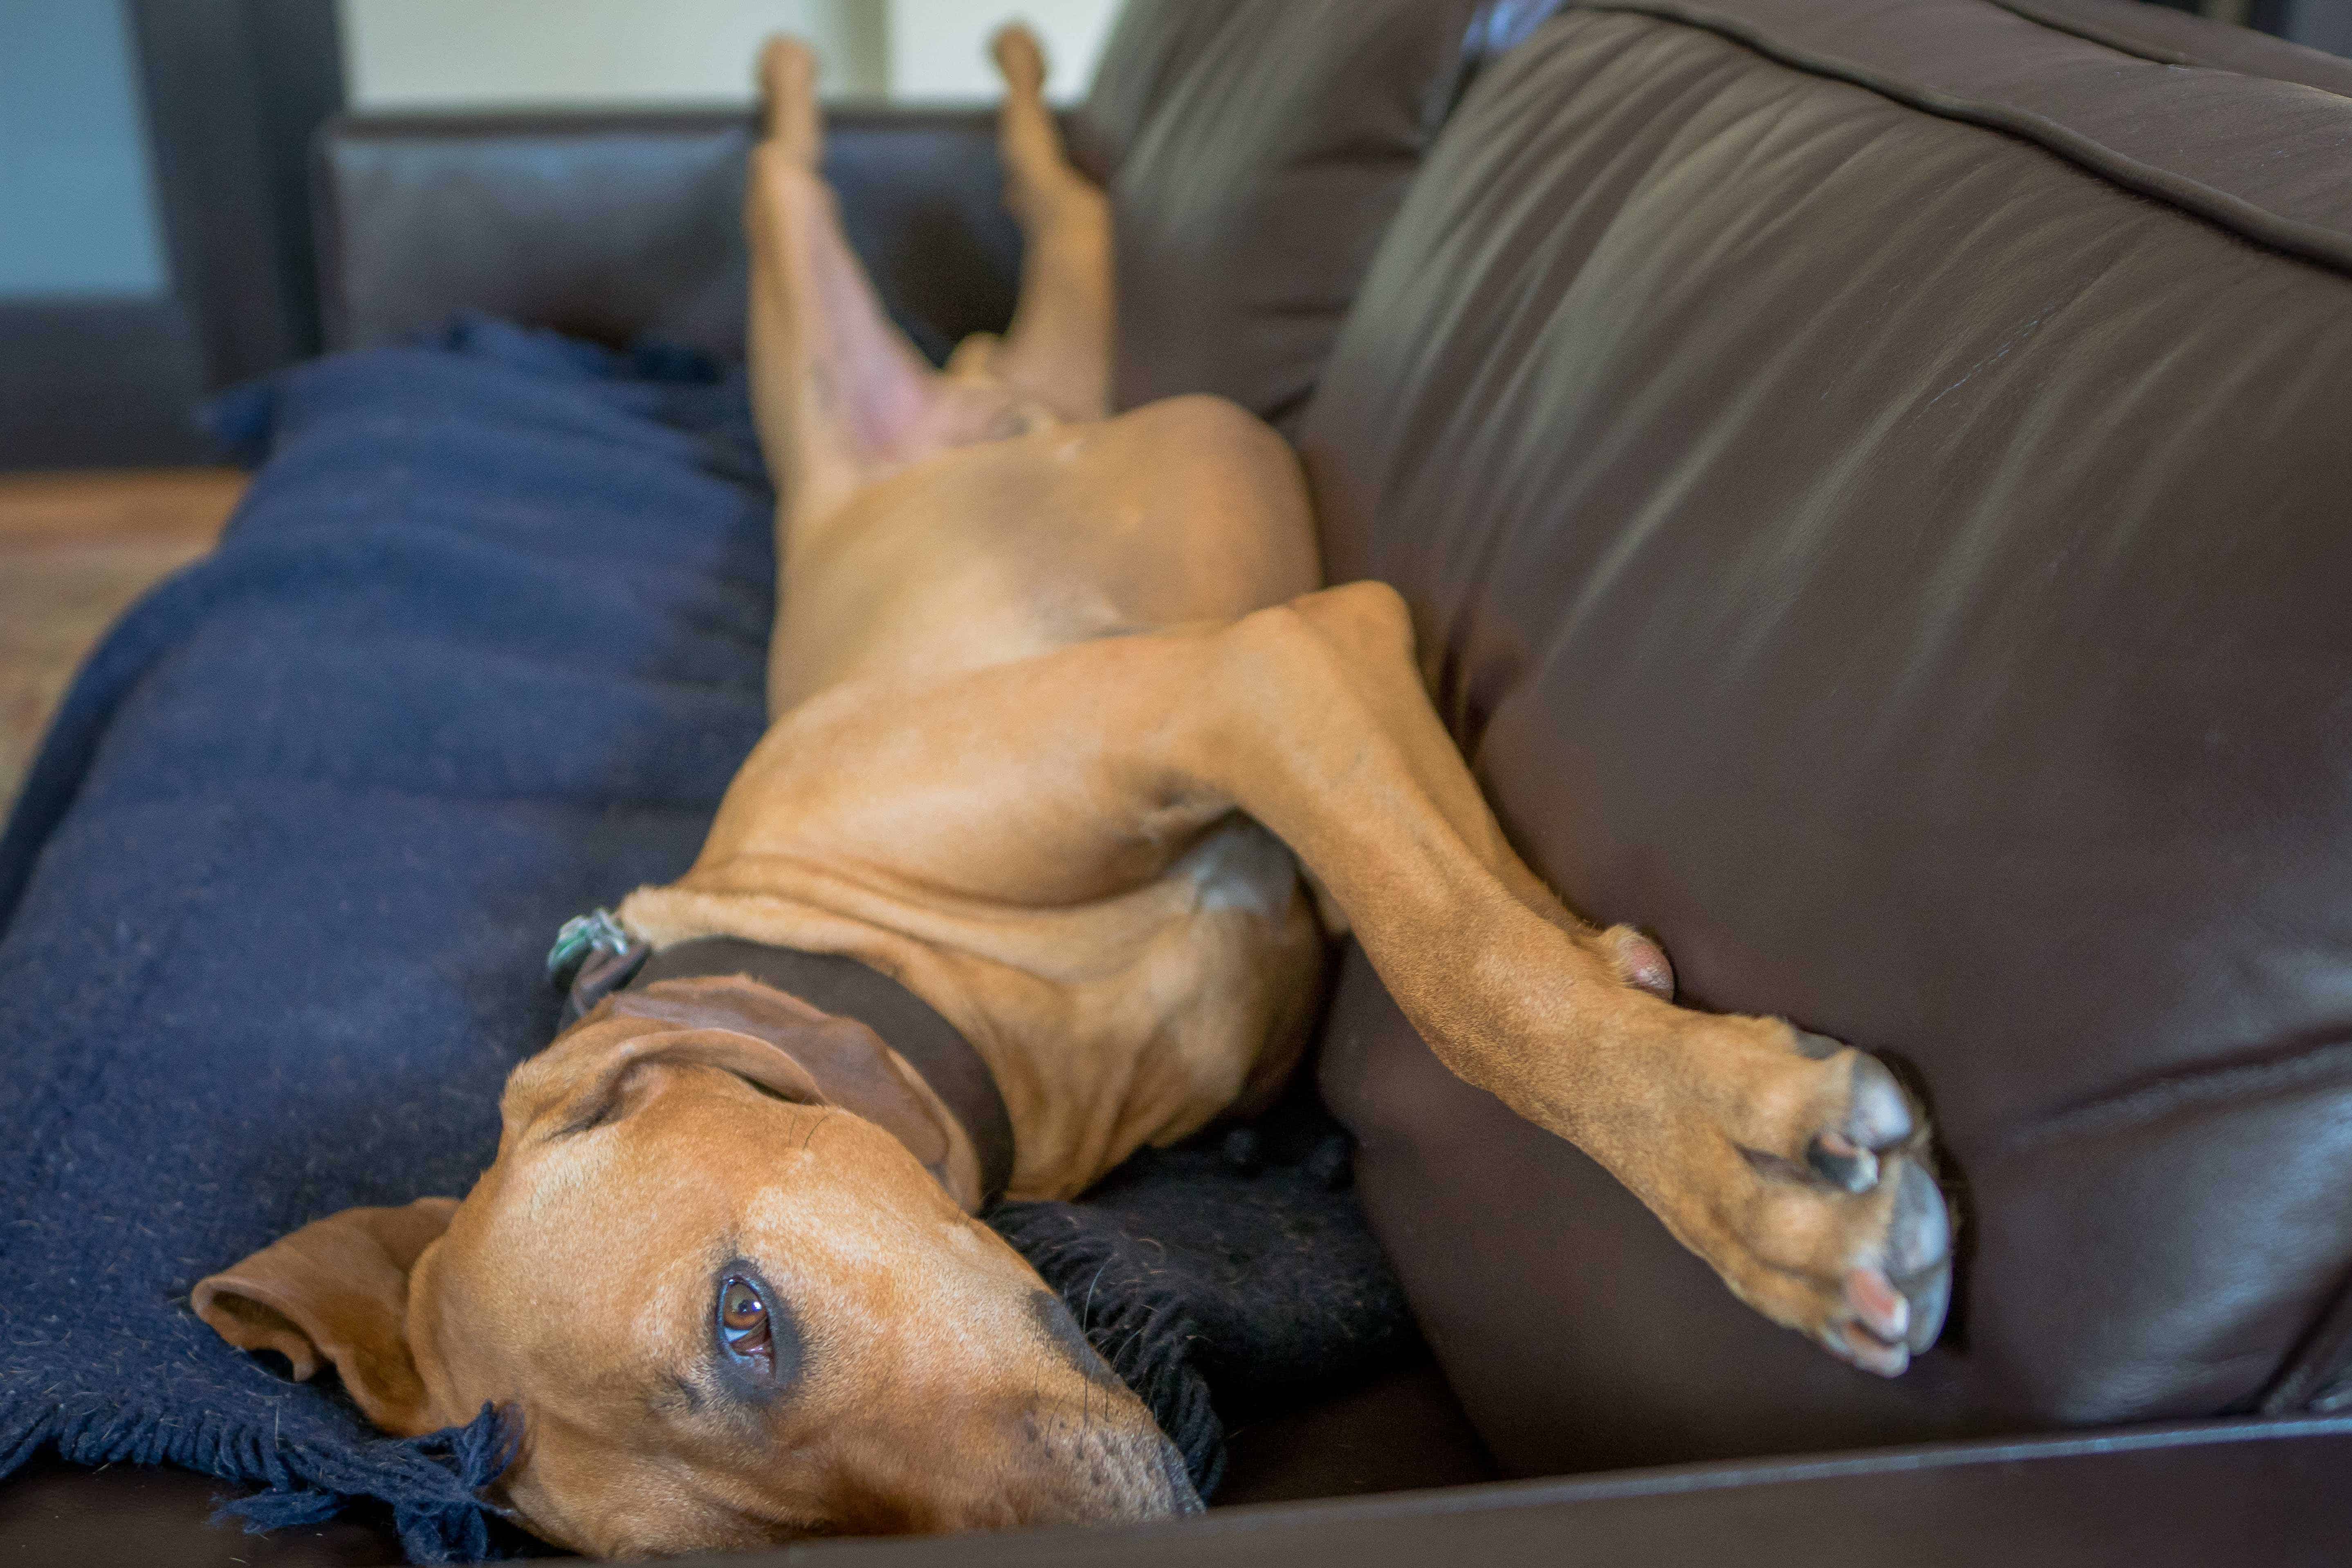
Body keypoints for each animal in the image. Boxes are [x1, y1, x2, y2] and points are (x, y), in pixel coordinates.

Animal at [188, 27, 1947, 1561]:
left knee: (895, 176)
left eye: (745, 1321)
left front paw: (1750, 1177)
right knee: (1028, 194)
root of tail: (973, 402)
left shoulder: (1268, 664)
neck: (885, 960)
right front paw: (1644, 1007)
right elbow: (1468, 903)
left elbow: (1455, 965)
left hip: (830, 344)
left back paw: (876, 68)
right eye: (766, 1544)